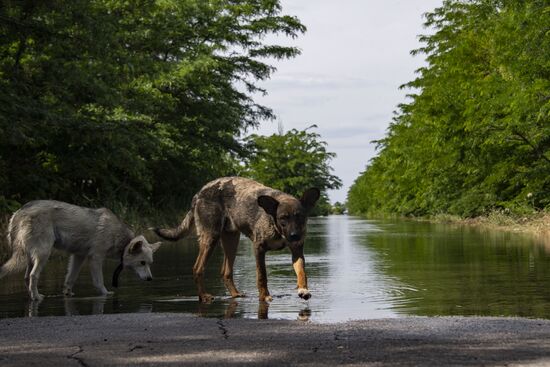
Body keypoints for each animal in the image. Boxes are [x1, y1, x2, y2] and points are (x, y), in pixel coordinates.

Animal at [153, 178, 322, 302]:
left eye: (300, 217)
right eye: (283, 218)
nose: (294, 235)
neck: (276, 227)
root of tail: (199, 193)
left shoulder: (297, 251)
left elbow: (302, 272)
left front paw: (303, 289)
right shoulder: (259, 249)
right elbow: (262, 276)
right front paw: (264, 296)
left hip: (231, 240)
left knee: (225, 272)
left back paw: (235, 294)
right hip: (211, 238)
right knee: (197, 268)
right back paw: (204, 296)